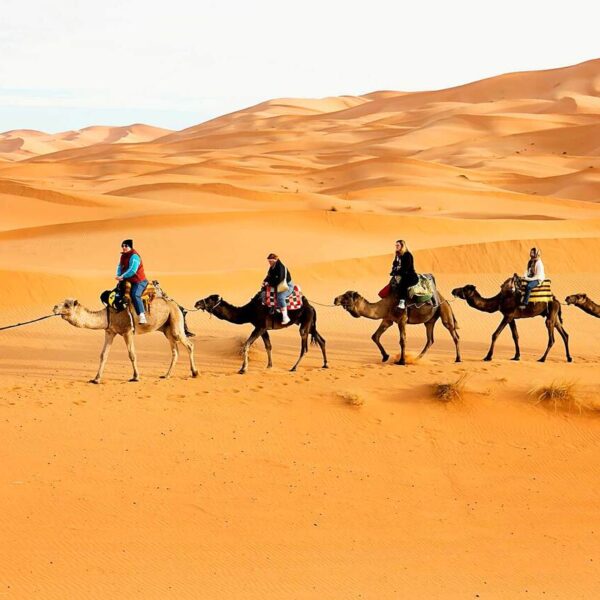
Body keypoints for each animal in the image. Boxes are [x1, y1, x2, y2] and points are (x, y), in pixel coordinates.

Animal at [51, 296, 197, 384]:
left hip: (175, 320)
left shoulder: (128, 332)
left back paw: (195, 373)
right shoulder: (109, 332)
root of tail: (177, 305)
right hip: (166, 328)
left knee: (189, 345)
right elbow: (103, 355)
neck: (109, 315)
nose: (54, 307)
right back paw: (166, 375)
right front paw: (96, 379)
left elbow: (131, 354)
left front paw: (135, 377)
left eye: (67, 305)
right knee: (175, 350)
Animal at [193, 292, 326, 372]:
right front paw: (269, 366)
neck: (249, 311)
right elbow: (268, 346)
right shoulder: (263, 329)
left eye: (209, 300)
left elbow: (246, 345)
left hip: (305, 324)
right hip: (308, 324)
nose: (197, 303)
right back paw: (325, 364)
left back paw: (294, 367)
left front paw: (243, 369)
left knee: (304, 347)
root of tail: (311, 307)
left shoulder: (260, 327)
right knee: (321, 340)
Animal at [332, 288, 460, 364]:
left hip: (444, 311)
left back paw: (458, 359)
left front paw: (401, 361)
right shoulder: (387, 319)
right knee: (430, 339)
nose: (335, 299)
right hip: (430, 320)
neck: (385, 305)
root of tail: (445, 299)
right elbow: (375, 336)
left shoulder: (402, 320)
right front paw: (385, 356)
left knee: (454, 335)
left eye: (347, 296)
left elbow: (402, 340)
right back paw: (416, 359)